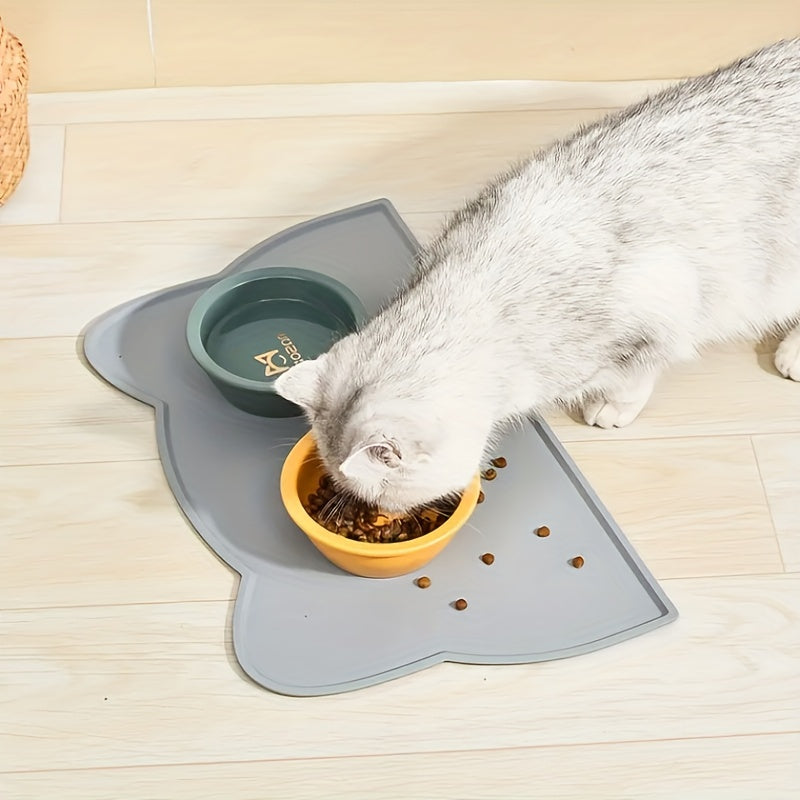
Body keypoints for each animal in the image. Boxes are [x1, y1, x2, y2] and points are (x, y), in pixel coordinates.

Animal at [276, 37, 800, 512]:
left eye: (379, 495)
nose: (383, 514)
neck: (480, 288)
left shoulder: (657, 318)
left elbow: (636, 374)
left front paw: (612, 406)